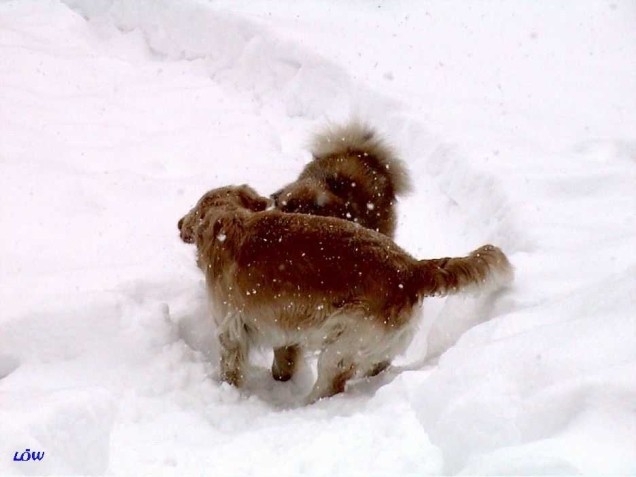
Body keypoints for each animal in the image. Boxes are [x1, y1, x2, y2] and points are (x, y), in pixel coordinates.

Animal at [178, 184, 512, 404]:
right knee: (376, 366)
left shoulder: (231, 328)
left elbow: (231, 368)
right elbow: (285, 358)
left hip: (341, 346)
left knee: (330, 387)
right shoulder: (288, 326)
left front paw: (227, 392)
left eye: (194, 208)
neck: (229, 225)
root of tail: (412, 268)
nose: (179, 222)